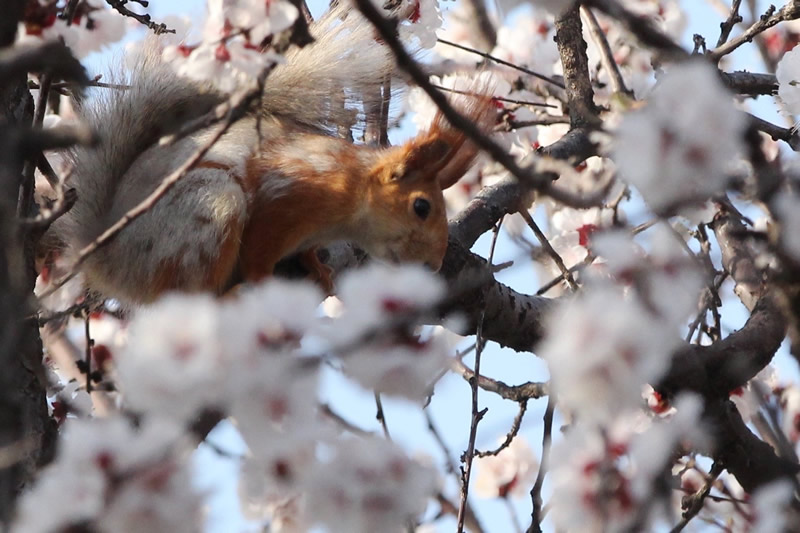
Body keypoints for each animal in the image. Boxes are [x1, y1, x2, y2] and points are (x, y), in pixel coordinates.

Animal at [43, 4, 496, 306]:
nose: (432, 267)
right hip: (207, 210)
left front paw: (319, 269)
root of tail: (111, 263)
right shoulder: (284, 198)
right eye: (421, 207)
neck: (351, 192)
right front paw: (263, 279)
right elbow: (260, 249)